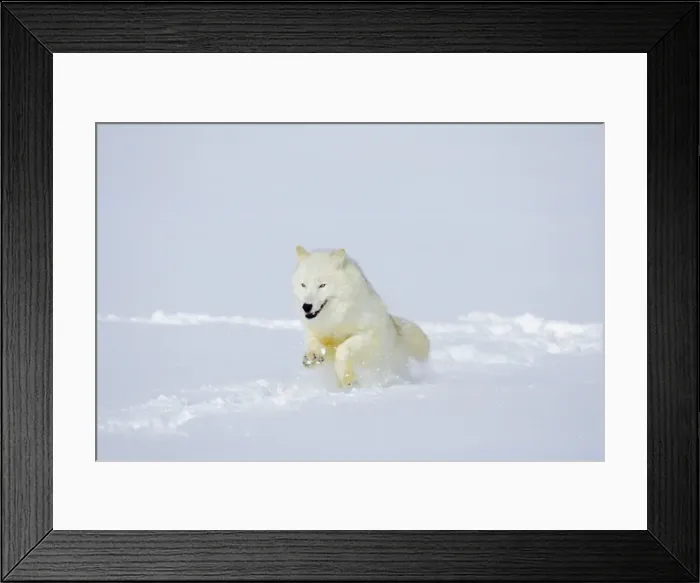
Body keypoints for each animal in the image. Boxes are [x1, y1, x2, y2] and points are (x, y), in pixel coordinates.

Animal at [291, 246, 430, 388]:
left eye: (322, 285)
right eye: (303, 285)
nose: (306, 306)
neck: (337, 319)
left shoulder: (368, 333)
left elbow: (343, 349)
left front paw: (347, 377)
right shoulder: (315, 330)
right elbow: (312, 342)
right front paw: (311, 357)